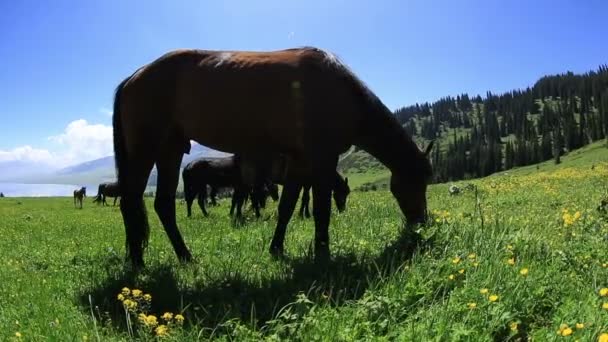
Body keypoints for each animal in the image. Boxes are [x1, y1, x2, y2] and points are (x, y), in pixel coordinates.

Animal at [110, 46, 432, 270]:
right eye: (419, 181)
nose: (423, 222)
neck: (340, 92)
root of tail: (134, 77)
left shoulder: (300, 163)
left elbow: (287, 207)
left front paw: (277, 249)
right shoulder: (322, 160)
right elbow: (321, 210)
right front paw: (322, 254)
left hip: (170, 150)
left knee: (163, 205)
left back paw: (185, 257)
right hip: (146, 149)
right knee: (131, 200)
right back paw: (138, 261)